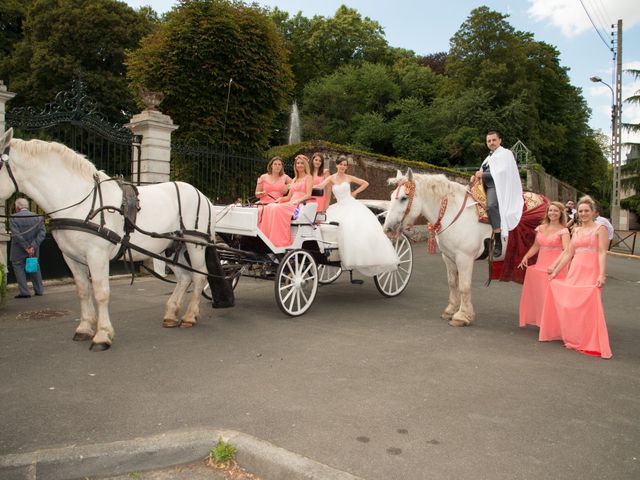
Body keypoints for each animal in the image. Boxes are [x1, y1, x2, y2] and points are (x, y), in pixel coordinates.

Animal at [0, 129, 215, 350]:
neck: (79, 201)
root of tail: (202, 195)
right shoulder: (71, 257)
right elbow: (83, 291)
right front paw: (84, 328)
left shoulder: (97, 255)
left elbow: (101, 293)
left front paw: (102, 335)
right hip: (168, 248)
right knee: (185, 277)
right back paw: (172, 314)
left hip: (195, 244)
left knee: (199, 276)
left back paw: (189, 316)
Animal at [382, 168, 492, 326]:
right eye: (391, 197)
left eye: (403, 198)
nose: (388, 230)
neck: (453, 213)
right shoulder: (449, 257)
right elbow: (452, 283)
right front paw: (451, 310)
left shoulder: (465, 258)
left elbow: (464, 286)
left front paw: (462, 316)